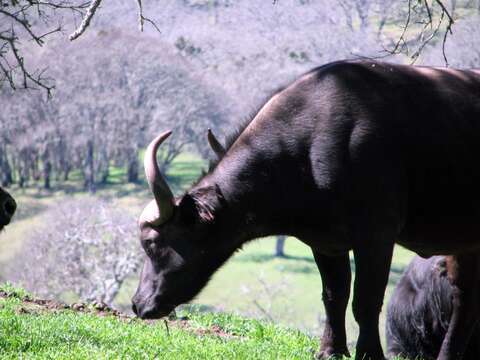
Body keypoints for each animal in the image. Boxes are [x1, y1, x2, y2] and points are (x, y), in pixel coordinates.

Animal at [132, 60, 480, 358]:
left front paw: (368, 354)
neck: (307, 149)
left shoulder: (376, 237)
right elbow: (334, 296)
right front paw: (330, 350)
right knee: (464, 301)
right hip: (465, 246)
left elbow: (365, 302)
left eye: (151, 243)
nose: (138, 304)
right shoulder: (326, 243)